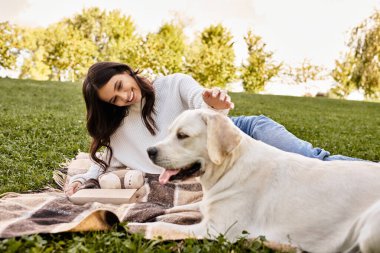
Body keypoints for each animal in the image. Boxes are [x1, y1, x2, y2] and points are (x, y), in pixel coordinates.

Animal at [142, 108, 380, 253]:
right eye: (170, 132)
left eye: (183, 135)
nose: (149, 151)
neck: (231, 167)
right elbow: (186, 206)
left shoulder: (216, 229)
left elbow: (160, 227)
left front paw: (143, 225)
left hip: (369, 227)